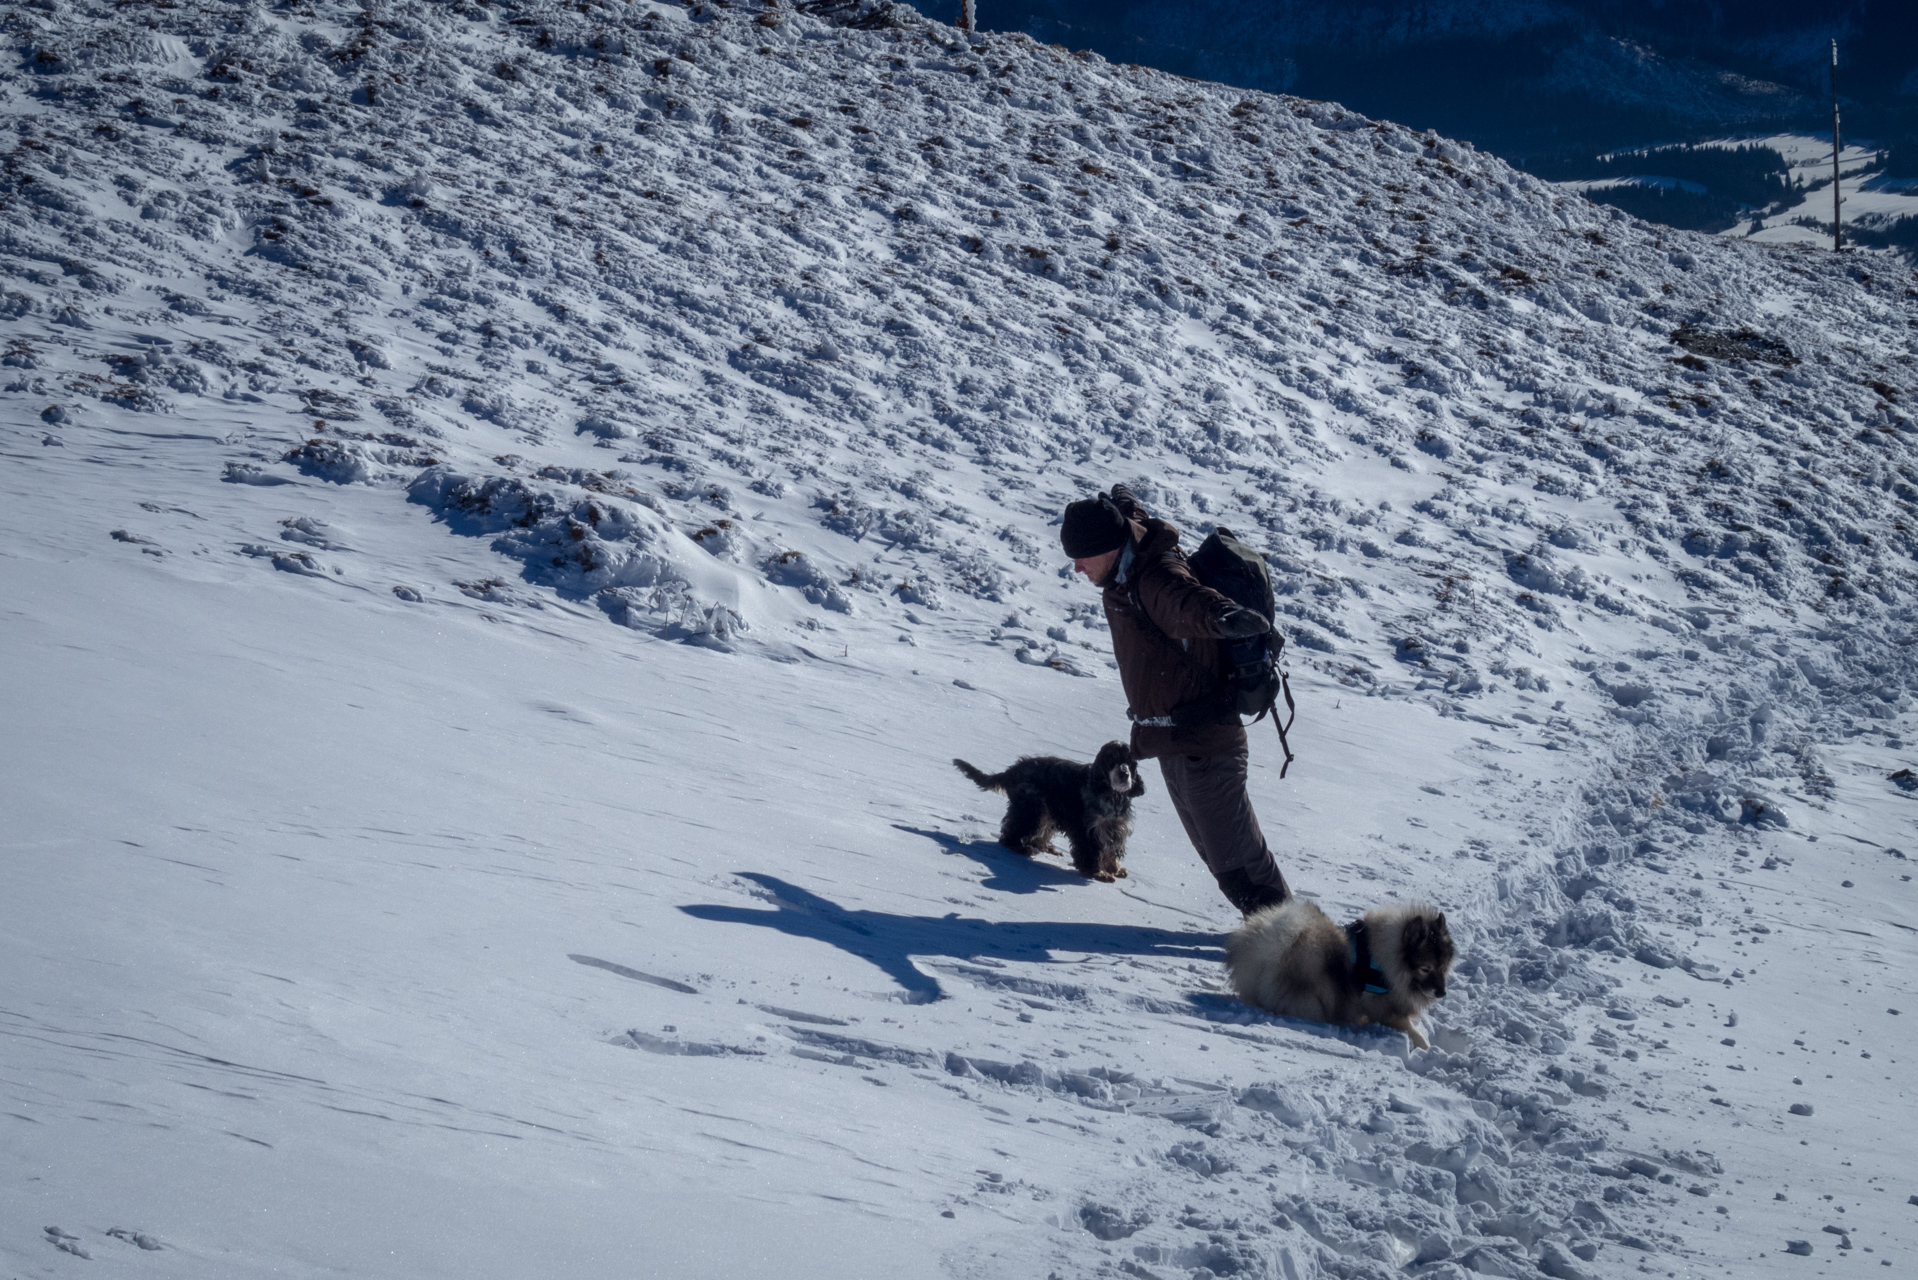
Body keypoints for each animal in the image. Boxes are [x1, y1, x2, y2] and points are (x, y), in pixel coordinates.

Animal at [955, 740, 1143, 882]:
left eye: (1130, 762)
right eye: (1111, 760)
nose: (1124, 774)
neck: (1112, 795)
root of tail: (1011, 771)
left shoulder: (1116, 827)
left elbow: (1112, 850)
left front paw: (1115, 869)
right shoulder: (1089, 829)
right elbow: (1091, 851)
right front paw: (1098, 873)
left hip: (1046, 814)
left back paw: (1045, 847)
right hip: (1032, 809)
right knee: (1011, 833)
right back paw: (1020, 847)